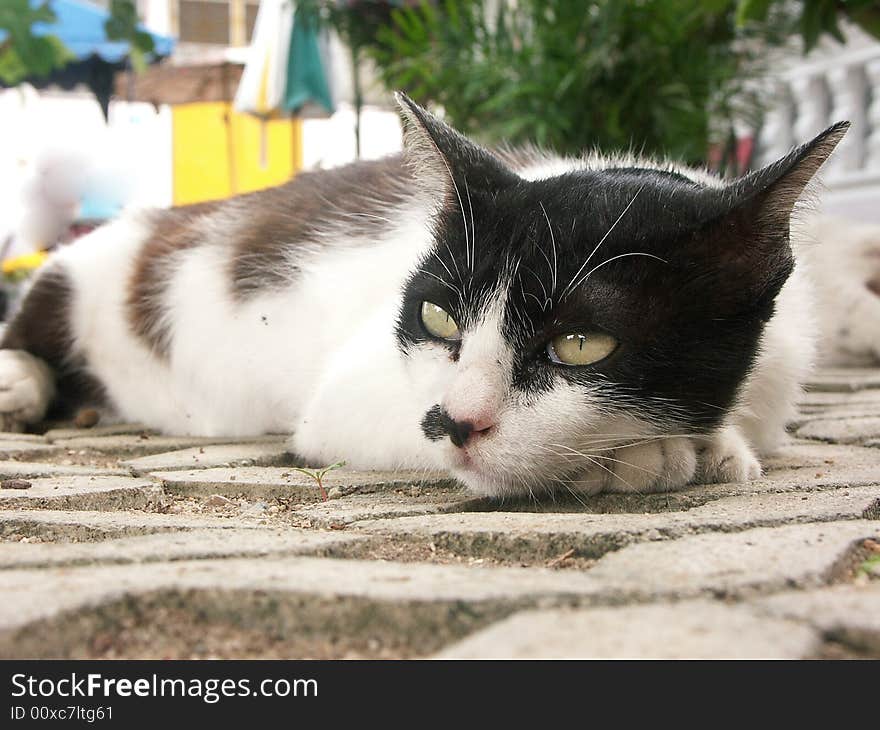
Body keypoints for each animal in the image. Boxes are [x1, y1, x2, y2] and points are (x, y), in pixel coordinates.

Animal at [0, 94, 856, 498]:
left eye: (581, 342)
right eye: (439, 316)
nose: (453, 419)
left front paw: (708, 448)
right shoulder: (351, 395)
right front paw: (646, 456)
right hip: (80, 267)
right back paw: (20, 382)